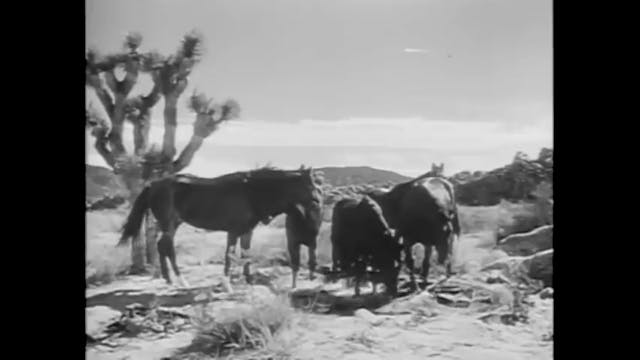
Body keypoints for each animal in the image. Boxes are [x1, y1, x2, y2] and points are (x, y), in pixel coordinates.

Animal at [118, 166, 322, 286]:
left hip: (173, 223)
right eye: (311, 186)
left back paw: (168, 279)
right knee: (166, 246)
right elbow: (229, 256)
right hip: (168, 223)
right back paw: (181, 281)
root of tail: (153, 185)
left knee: (163, 247)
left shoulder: (247, 231)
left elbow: (246, 254)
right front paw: (226, 283)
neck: (251, 192)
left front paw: (248, 279)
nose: (319, 202)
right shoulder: (233, 231)